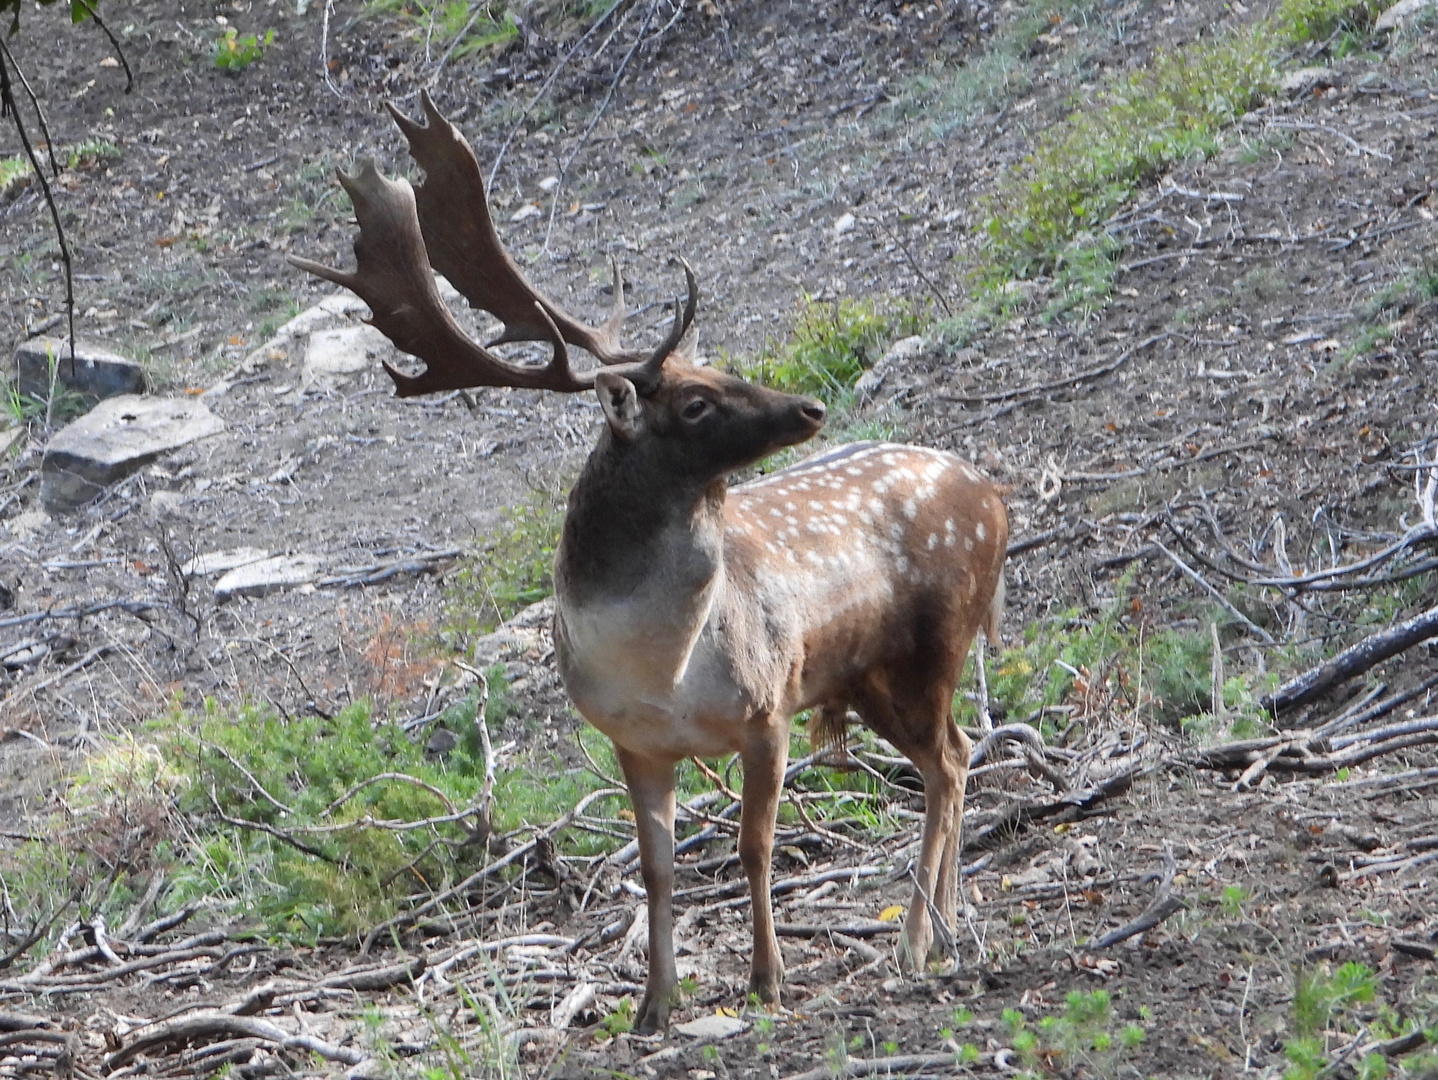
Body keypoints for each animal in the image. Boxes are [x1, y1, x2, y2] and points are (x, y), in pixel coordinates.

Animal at [291, 90, 1006, 1029]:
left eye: (720, 368)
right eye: (696, 399)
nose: (809, 407)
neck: (661, 666)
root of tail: (996, 496)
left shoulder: (767, 708)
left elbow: (753, 846)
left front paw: (766, 980)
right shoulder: (631, 741)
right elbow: (657, 870)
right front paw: (654, 1002)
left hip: (930, 646)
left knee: (950, 763)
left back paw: (917, 942)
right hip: (872, 676)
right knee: (951, 757)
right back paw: (943, 931)